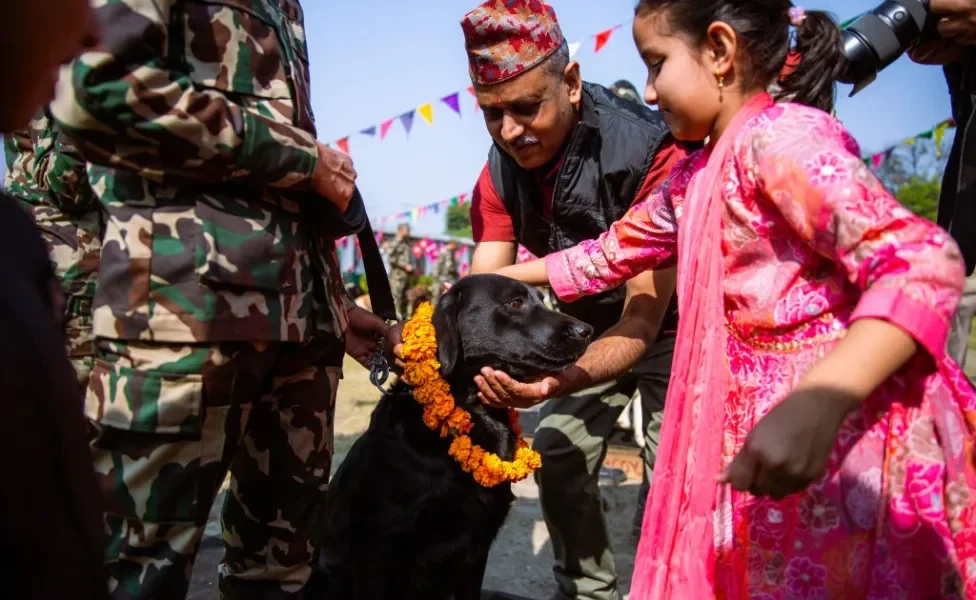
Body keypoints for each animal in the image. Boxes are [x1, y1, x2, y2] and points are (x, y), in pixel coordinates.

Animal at [304, 274, 596, 596]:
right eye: (515, 302)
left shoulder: (479, 543)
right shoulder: (376, 552)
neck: (474, 412)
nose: (587, 330)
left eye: (541, 299)